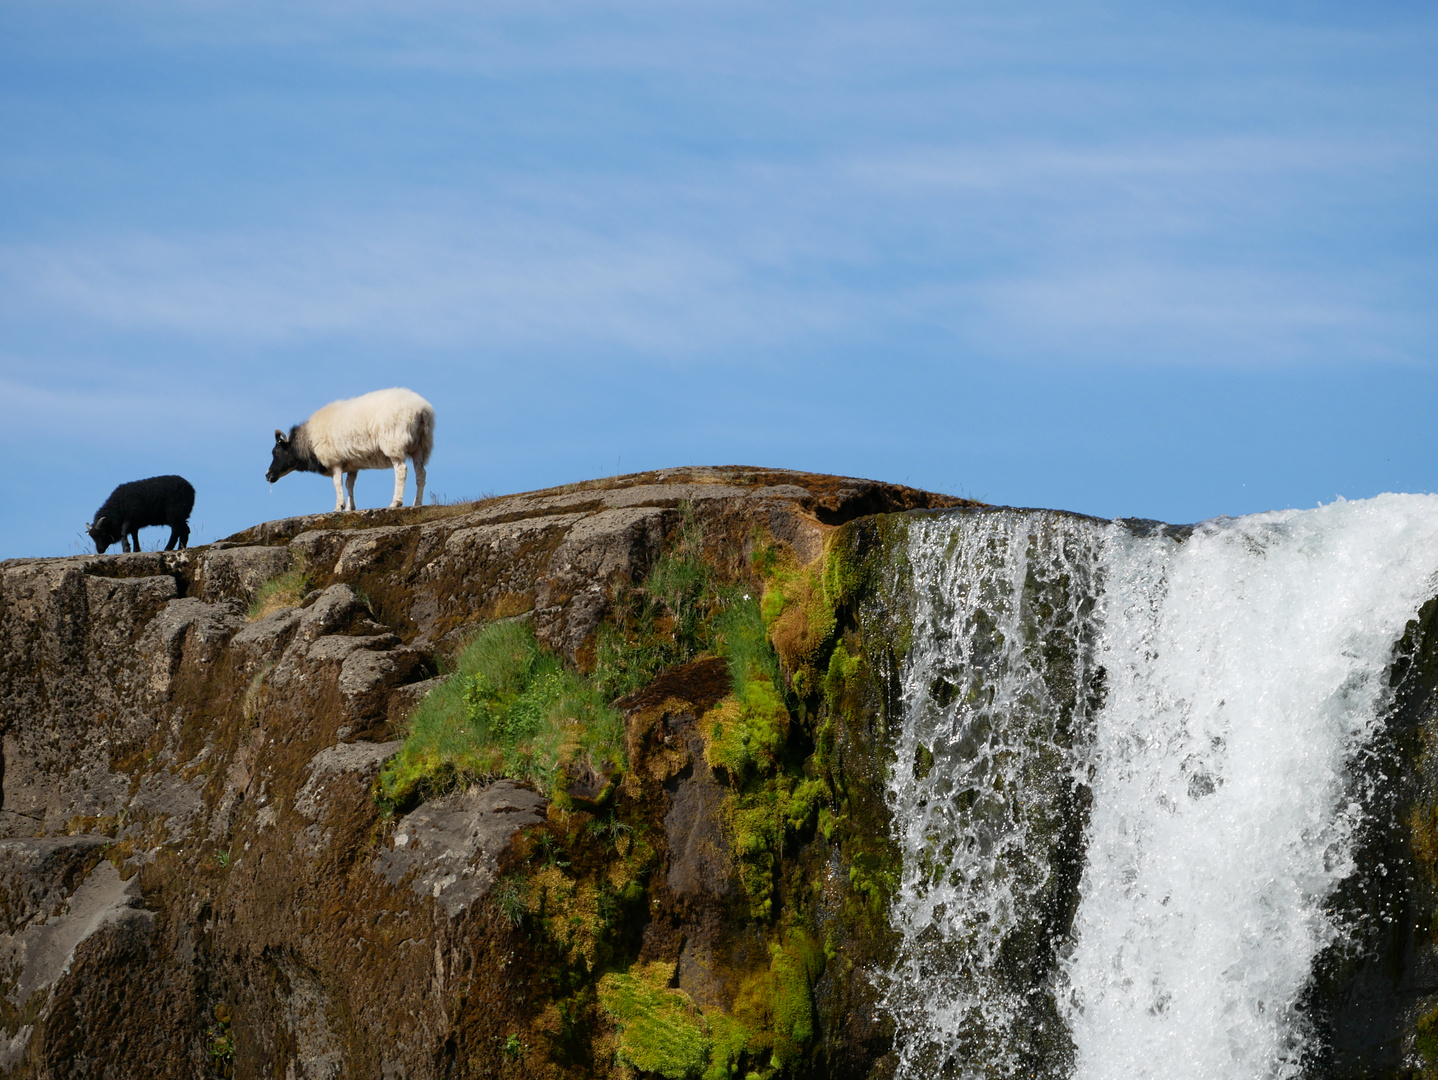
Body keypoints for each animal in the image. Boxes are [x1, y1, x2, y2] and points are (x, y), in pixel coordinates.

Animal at [266, 388, 431, 511]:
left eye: (276, 452)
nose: (268, 475)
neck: (307, 442)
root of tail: (422, 410)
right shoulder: (352, 464)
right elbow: (349, 484)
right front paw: (350, 508)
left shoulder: (335, 461)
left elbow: (337, 483)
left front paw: (338, 507)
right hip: (420, 446)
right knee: (421, 473)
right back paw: (417, 503)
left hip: (394, 444)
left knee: (401, 470)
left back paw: (396, 502)